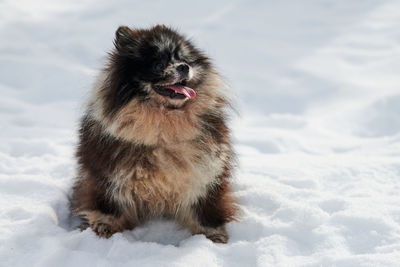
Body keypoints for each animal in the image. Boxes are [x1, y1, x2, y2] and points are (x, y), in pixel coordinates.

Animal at [71, 24, 238, 244]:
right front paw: (104, 227)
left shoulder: (205, 175)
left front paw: (213, 236)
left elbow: (206, 211)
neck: (164, 126)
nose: (184, 67)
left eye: (183, 58)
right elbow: (108, 207)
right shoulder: (108, 176)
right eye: (158, 64)